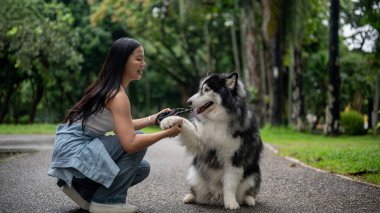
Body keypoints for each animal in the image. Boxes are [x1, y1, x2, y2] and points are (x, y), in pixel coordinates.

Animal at [159, 72, 262, 209]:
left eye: (207, 90)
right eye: (199, 89)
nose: (188, 102)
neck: (218, 119)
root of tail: (216, 196)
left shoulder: (235, 159)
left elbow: (230, 184)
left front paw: (231, 202)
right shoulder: (200, 142)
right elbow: (183, 122)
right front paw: (169, 120)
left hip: (254, 175)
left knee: (248, 191)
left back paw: (248, 199)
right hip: (194, 174)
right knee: (196, 191)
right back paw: (190, 197)